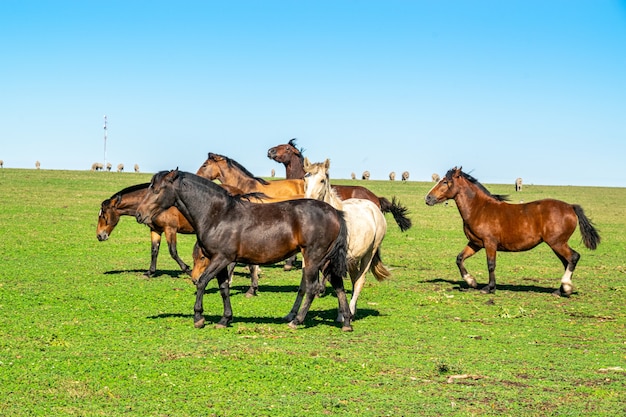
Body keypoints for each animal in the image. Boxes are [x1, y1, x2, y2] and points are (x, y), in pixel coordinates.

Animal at [135, 167, 352, 330]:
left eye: (156, 189)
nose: (139, 214)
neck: (218, 215)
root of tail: (335, 212)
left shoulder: (221, 258)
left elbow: (203, 282)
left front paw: (199, 318)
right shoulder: (222, 261)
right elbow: (224, 288)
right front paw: (225, 319)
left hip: (314, 258)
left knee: (313, 288)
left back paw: (297, 321)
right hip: (325, 260)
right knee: (338, 286)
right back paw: (346, 322)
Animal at [304, 158, 390, 320]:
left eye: (322, 180)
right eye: (305, 178)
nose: (309, 201)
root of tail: (373, 206)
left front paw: (343, 315)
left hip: (368, 254)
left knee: (360, 280)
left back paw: (350, 311)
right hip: (353, 260)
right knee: (354, 278)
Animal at [424, 166, 600, 296]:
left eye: (445, 182)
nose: (428, 198)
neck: (479, 209)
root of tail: (570, 207)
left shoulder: (489, 243)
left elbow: (491, 264)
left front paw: (489, 288)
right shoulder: (475, 243)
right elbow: (459, 258)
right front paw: (471, 281)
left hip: (557, 243)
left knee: (573, 257)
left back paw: (566, 287)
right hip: (557, 244)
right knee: (567, 261)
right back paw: (560, 290)